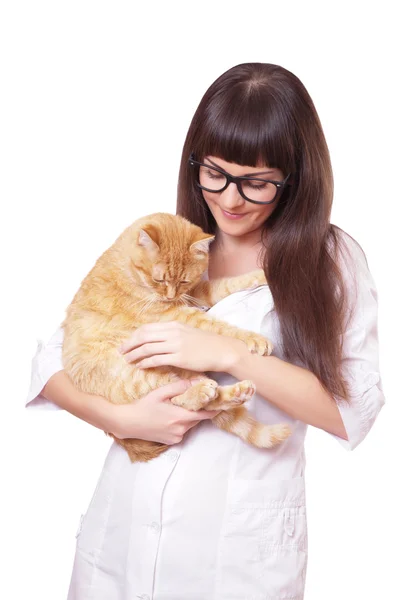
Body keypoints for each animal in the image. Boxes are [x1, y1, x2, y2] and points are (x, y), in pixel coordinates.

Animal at [62, 213, 290, 462]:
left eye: (184, 281)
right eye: (159, 280)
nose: (170, 296)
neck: (128, 270)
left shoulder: (194, 293)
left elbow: (227, 284)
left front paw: (260, 275)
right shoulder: (175, 315)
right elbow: (218, 327)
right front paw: (254, 338)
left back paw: (235, 393)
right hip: (140, 377)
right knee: (182, 401)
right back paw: (203, 393)